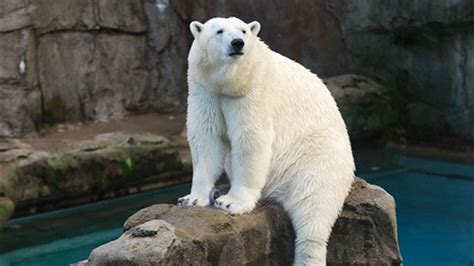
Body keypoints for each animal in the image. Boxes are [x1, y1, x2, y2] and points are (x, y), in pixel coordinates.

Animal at [179, 17, 356, 266]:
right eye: (219, 31)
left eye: (243, 30)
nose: (237, 43)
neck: (230, 82)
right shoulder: (205, 90)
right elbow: (206, 138)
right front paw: (193, 199)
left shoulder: (253, 91)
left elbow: (251, 139)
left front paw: (231, 203)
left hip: (316, 159)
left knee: (314, 211)